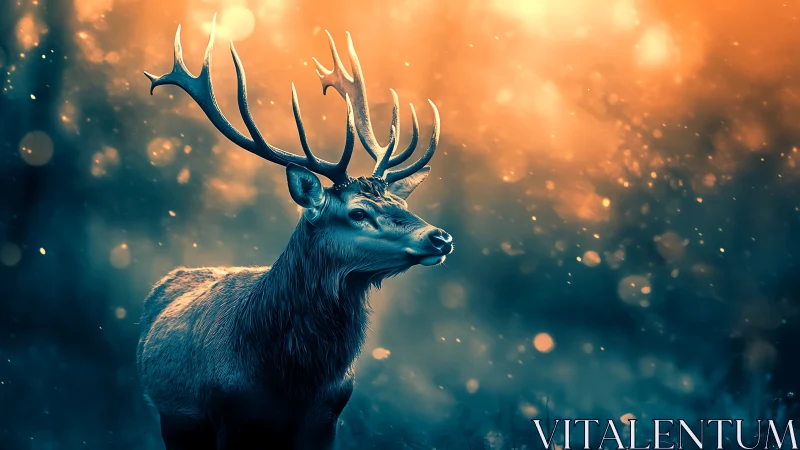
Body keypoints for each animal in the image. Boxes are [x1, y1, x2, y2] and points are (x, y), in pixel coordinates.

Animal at [136, 15, 453, 450]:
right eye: (358, 212)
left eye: (401, 206)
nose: (440, 238)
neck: (290, 381)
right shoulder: (229, 416)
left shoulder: (326, 417)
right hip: (175, 423)